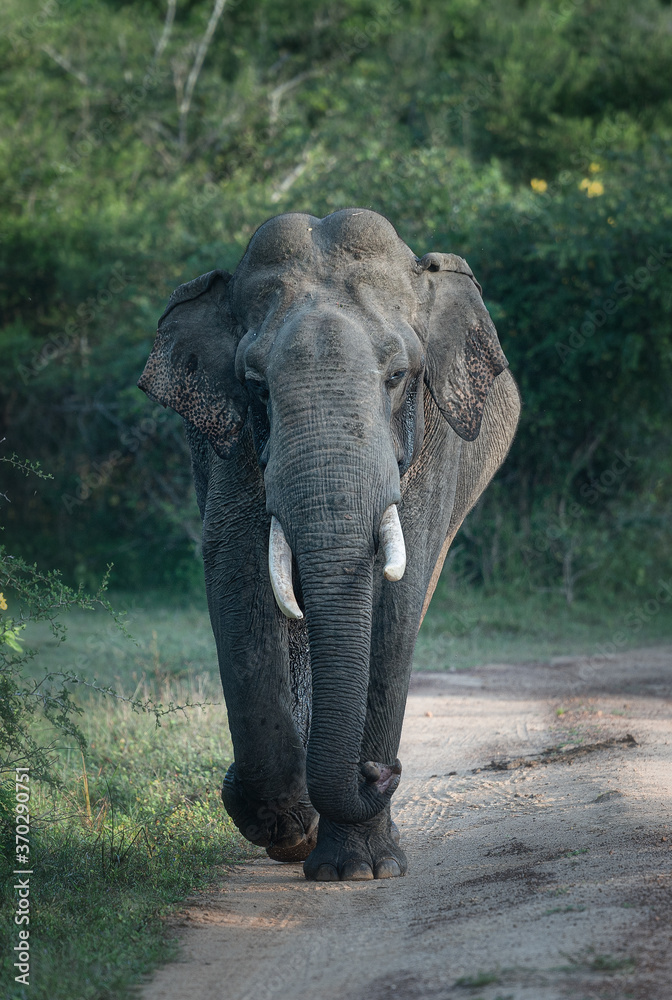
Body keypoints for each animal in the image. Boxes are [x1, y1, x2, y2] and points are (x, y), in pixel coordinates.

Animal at [138, 207, 520, 881]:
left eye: (398, 377)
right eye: (256, 386)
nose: (381, 772)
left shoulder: (432, 440)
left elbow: (398, 595)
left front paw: (361, 870)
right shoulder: (234, 445)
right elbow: (237, 572)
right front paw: (286, 827)